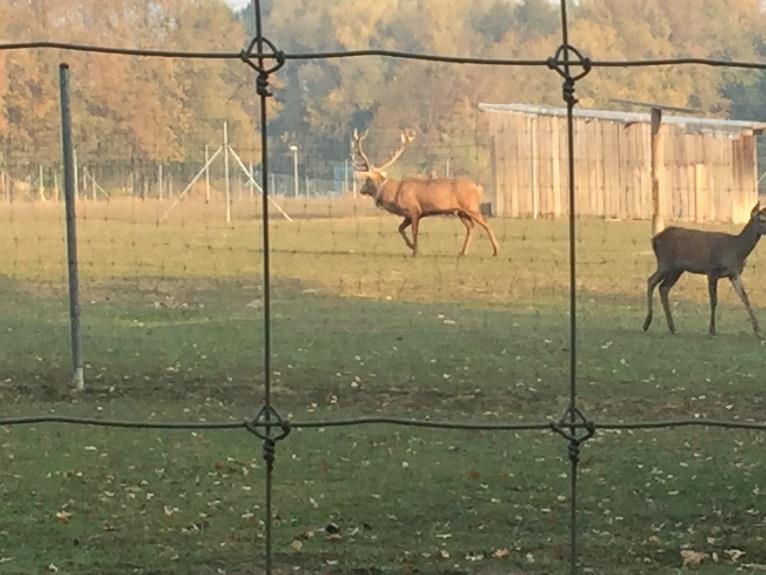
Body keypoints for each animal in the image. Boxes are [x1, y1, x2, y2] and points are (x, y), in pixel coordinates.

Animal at [352, 132, 500, 258]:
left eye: (367, 180)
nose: (361, 190)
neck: (394, 194)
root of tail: (478, 188)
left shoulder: (414, 209)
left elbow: (414, 231)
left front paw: (415, 251)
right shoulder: (408, 214)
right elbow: (400, 228)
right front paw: (412, 247)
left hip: (471, 207)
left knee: (485, 224)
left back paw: (496, 251)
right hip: (461, 212)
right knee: (471, 227)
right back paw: (462, 252)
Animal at [644, 204, 766, 336]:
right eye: (762, 220)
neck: (737, 251)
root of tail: (654, 240)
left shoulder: (734, 274)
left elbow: (745, 297)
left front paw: (758, 330)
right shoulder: (712, 271)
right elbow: (714, 300)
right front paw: (712, 330)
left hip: (677, 269)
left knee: (663, 288)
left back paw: (672, 328)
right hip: (665, 262)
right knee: (651, 281)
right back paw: (647, 323)